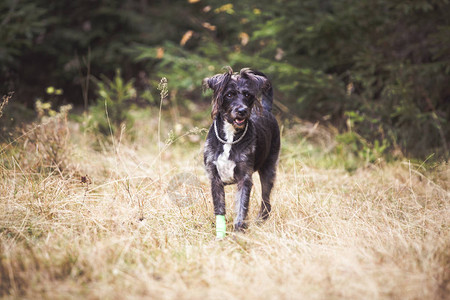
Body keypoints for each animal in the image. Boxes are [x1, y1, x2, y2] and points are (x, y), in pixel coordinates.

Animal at [203, 67, 280, 232]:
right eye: (229, 94)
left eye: (247, 95)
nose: (242, 111)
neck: (230, 136)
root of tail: (268, 110)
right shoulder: (215, 178)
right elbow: (219, 209)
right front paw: (221, 233)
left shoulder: (244, 178)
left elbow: (241, 207)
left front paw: (238, 231)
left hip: (269, 169)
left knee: (266, 200)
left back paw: (260, 220)